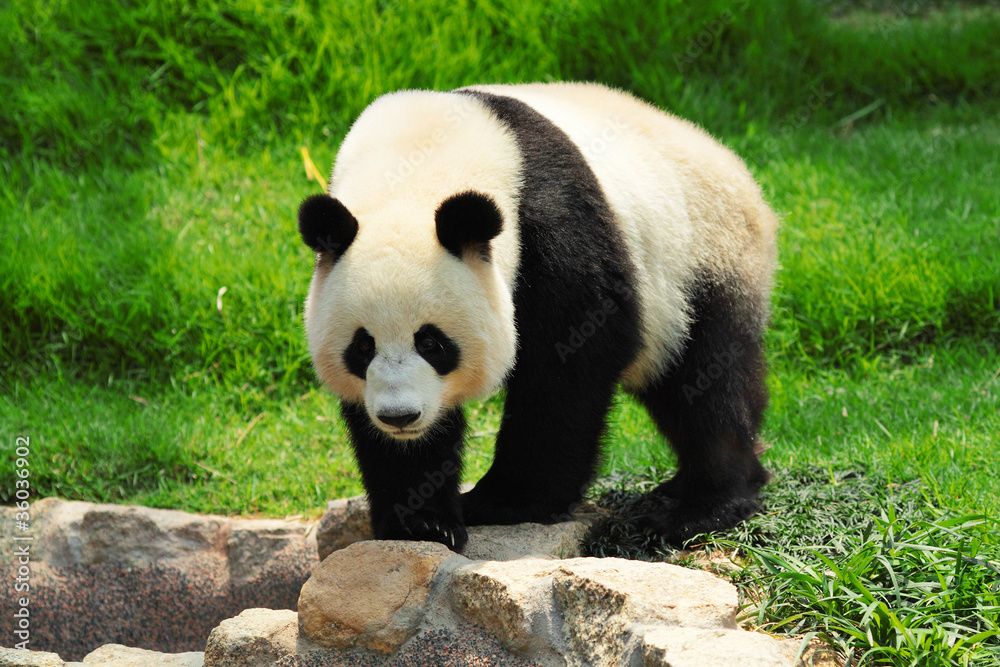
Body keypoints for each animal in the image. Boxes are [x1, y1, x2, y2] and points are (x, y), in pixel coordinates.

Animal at [298, 82, 778, 552]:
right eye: (362, 347)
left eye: (431, 342)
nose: (399, 416)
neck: (414, 166)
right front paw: (422, 522)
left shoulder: (551, 223)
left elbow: (569, 362)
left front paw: (505, 502)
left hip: (702, 259)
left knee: (705, 381)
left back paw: (697, 508)